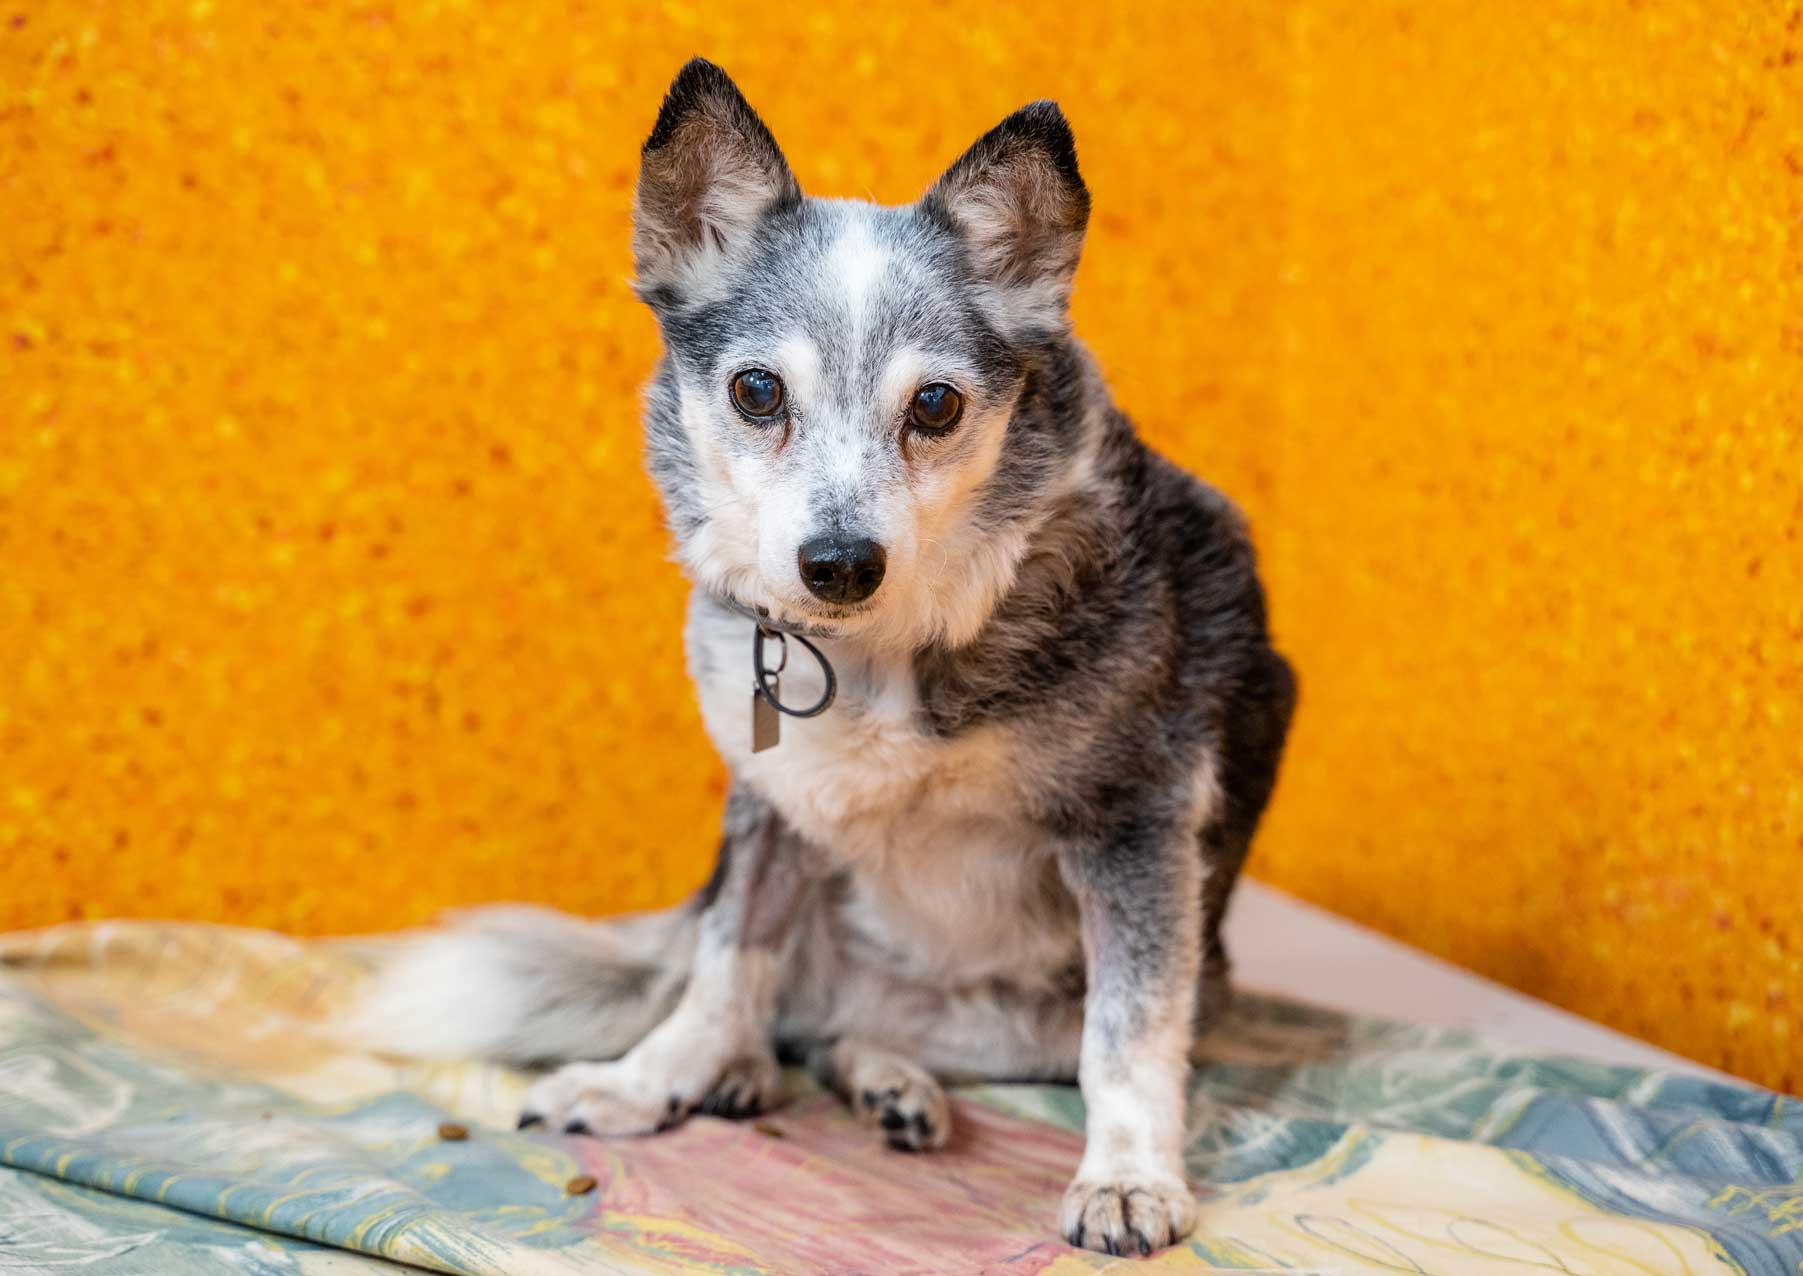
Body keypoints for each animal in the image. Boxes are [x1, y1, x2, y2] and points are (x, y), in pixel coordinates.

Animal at [357, 58, 1295, 1257]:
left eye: (935, 404)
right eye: (758, 391)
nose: (840, 563)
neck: (881, 649)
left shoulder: (1136, 827)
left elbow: (1127, 1035)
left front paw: (1128, 1177)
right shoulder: (772, 807)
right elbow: (724, 969)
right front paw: (647, 1082)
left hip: (1048, 1009)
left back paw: (891, 1085)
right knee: (775, 1003)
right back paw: (774, 1078)